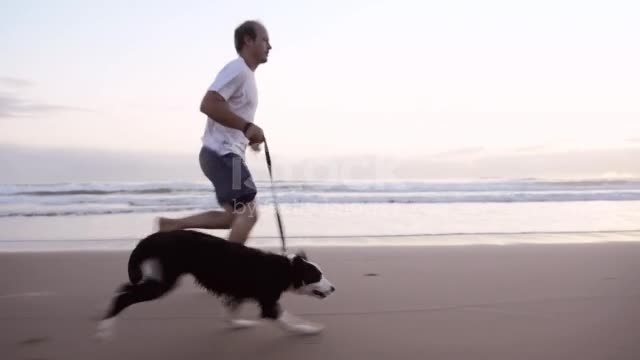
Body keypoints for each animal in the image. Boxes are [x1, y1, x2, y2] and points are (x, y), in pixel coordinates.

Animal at [96, 229, 336, 338]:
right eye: (317, 275)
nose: (334, 288)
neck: (284, 269)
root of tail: (155, 236)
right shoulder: (268, 302)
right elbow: (285, 318)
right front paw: (307, 329)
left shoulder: (238, 293)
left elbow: (229, 311)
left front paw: (238, 324)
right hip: (163, 282)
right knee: (124, 296)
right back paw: (104, 329)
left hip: (157, 278)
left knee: (124, 289)